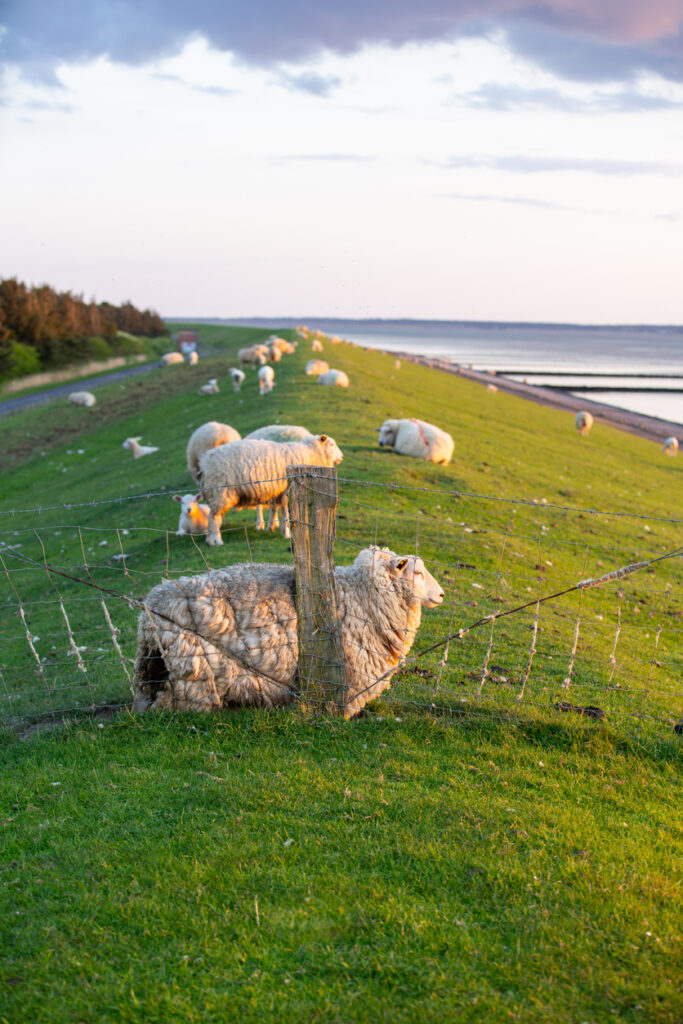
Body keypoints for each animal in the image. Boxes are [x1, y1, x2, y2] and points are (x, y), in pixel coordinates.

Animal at [198, 434, 343, 545]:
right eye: (331, 445)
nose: (341, 457)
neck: (310, 453)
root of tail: (204, 462)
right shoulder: (285, 491)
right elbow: (285, 513)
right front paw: (287, 533)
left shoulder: (277, 492)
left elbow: (275, 510)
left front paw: (273, 528)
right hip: (220, 492)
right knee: (213, 518)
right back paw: (217, 540)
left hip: (216, 493)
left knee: (212, 517)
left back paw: (210, 540)